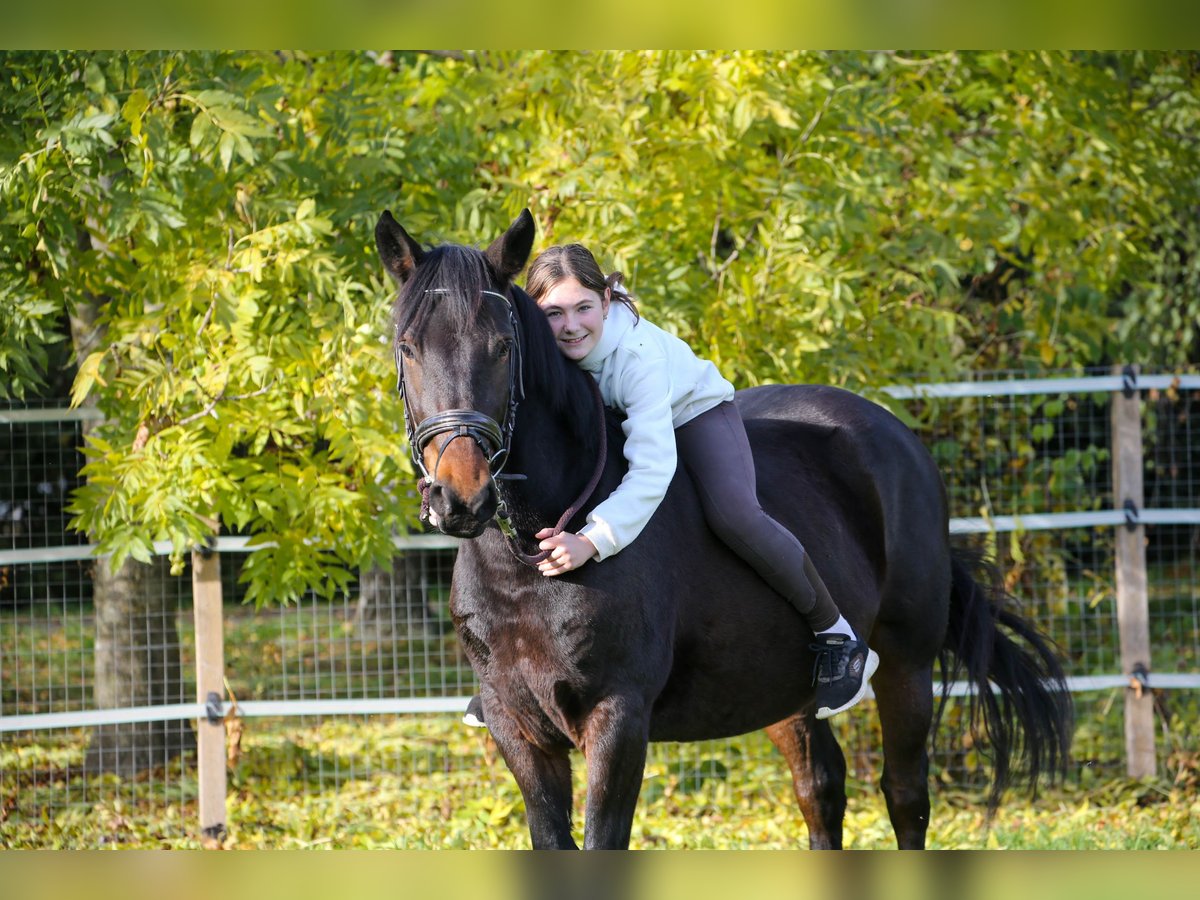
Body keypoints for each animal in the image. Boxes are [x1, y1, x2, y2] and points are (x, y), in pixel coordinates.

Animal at [372, 207, 1070, 849]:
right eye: (407, 348)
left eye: (502, 347)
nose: (460, 496)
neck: (525, 563)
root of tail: (900, 440)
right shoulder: (516, 726)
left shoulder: (617, 718)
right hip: (784, 691)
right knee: (821, 790)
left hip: (907, 662)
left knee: (904, 796)